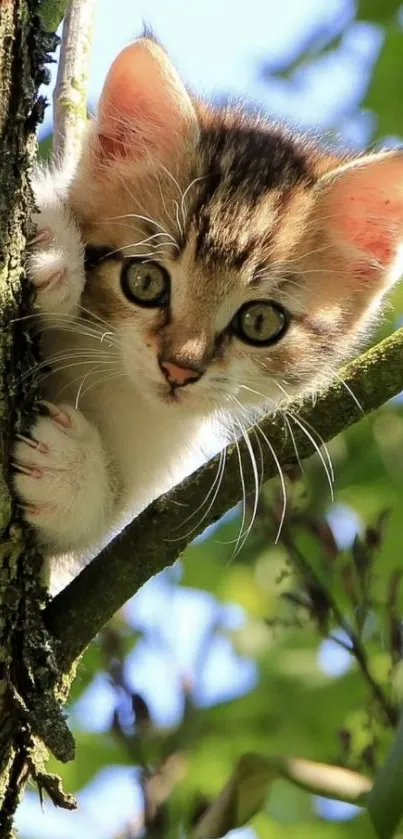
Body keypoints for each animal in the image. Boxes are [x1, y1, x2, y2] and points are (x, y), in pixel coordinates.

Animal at [14, 36, 403, 568]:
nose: (178, 369)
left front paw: (70, 476)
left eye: (260, 322)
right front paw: (53, 246)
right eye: (145, 280)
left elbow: (96, 537)